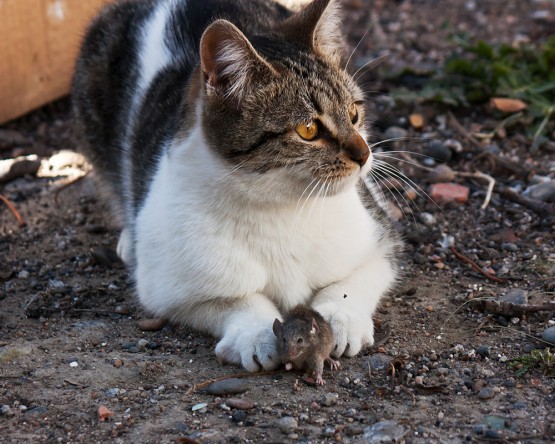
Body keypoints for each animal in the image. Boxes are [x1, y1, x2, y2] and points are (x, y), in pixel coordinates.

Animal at [73, 0, 404, 372]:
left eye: (353, 113)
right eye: (308, 130)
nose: (364, 154)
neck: (283, 208)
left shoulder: (380, 237)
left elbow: (354, 282)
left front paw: (342, 319)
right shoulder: (171, 288)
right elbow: (239, 301)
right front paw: (256, 335)